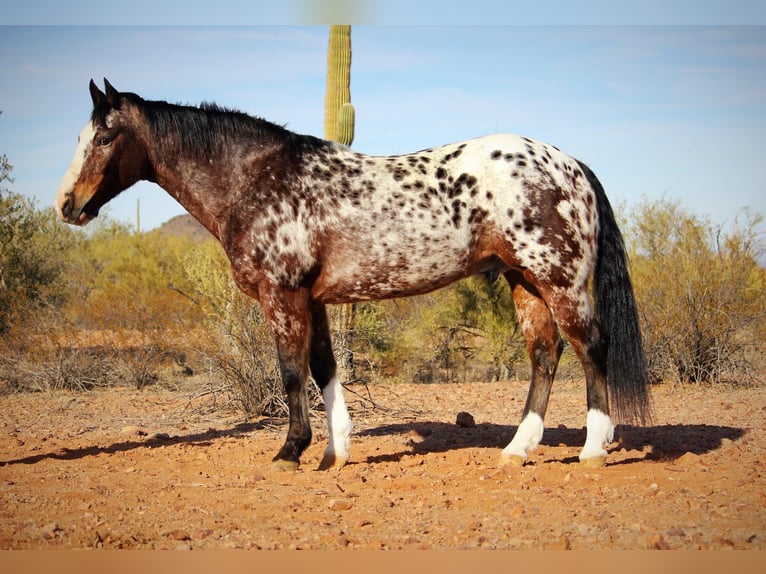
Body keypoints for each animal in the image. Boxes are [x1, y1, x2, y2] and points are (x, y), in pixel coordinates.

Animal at [57, 77, 652, 472]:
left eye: (104, 139)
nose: (68, 204)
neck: (257, 179)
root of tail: (569, 163)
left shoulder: (283, 296)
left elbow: (291, 372)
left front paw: (290, 451)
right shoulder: (314, 300)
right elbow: (324, 369)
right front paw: (334, 451)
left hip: (560, 281)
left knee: (592, 348)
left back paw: (593, 449)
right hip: (524, 281)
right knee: (544, 356)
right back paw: (516, 450)